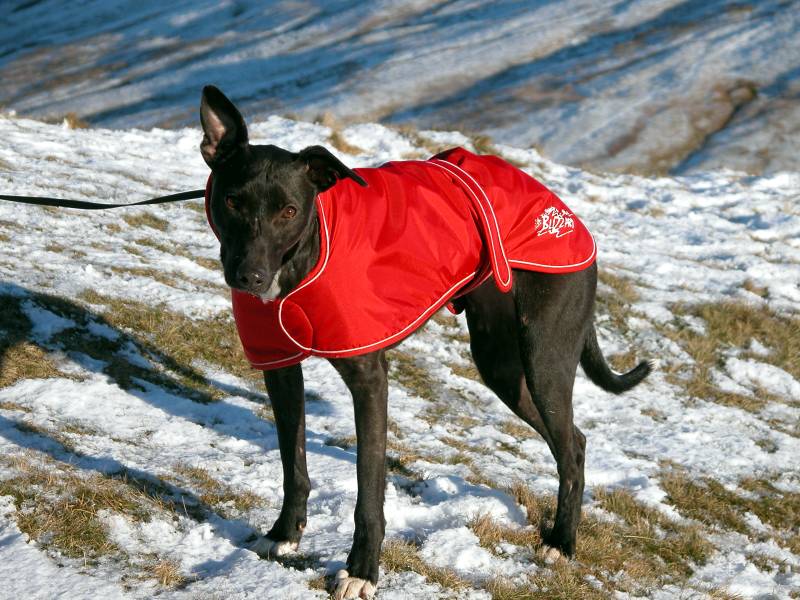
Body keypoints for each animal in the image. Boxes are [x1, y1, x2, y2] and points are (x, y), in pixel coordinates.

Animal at [198, 85, 648, 600]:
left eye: (289, 211)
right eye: (232, 201)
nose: (248, 277)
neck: (304, 257)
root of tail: (565, 212)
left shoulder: (369, 381)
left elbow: (368, 487)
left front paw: (361, 571)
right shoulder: (280, 368)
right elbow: (293, 464)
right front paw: (284, 534)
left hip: (545, 360)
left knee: (570, 446)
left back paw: (562, 542)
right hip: (502, 367)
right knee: (574, 439)